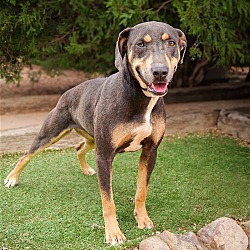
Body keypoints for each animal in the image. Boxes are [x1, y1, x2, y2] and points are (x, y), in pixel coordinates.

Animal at [4, 21, 187, 244]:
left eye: (172, 43)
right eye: (140, 44)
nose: (160, 72)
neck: (138, 95)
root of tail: (68, 92)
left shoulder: (150, 151)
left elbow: (141, 190)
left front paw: (142, 219)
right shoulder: (105, 155)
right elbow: (108, 200)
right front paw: (113, 233)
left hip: (92, 137)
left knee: (79, 148)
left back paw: (86, 169)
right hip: (51, 132)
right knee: (27, 154)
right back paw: (12, 178)